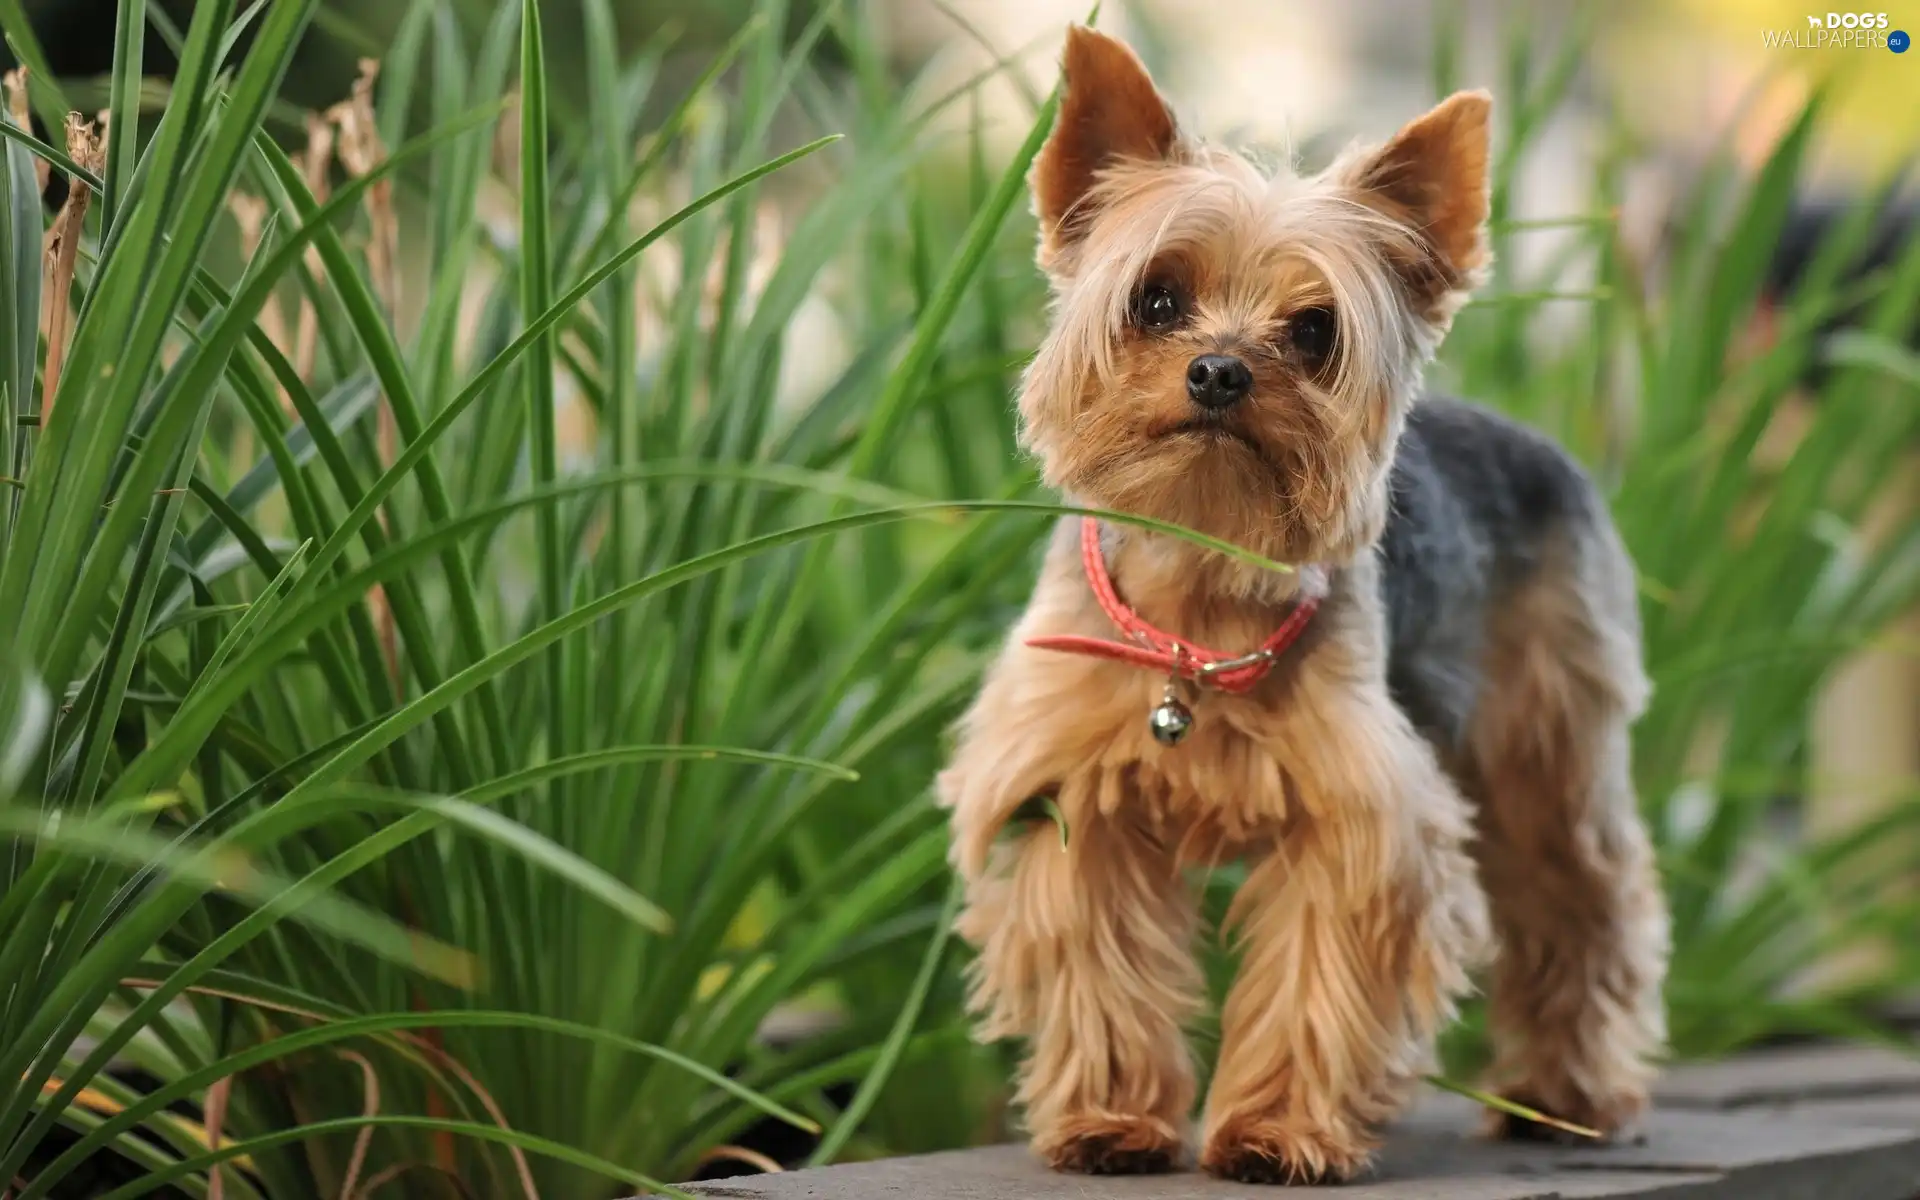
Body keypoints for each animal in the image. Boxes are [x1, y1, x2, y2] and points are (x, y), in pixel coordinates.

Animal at [936, 25, 1674, 1182]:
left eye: (1317, 329)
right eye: (1156, 299)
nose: (1219, 371)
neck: (1200, 581)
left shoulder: (1358, 821)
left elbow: (1317, 974)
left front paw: (1274, 1135)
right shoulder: (1071, 795)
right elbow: (1099, 958)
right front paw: (1109, 1122)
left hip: (1549, 743)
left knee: (1583, 900)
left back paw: (1565, 1096)